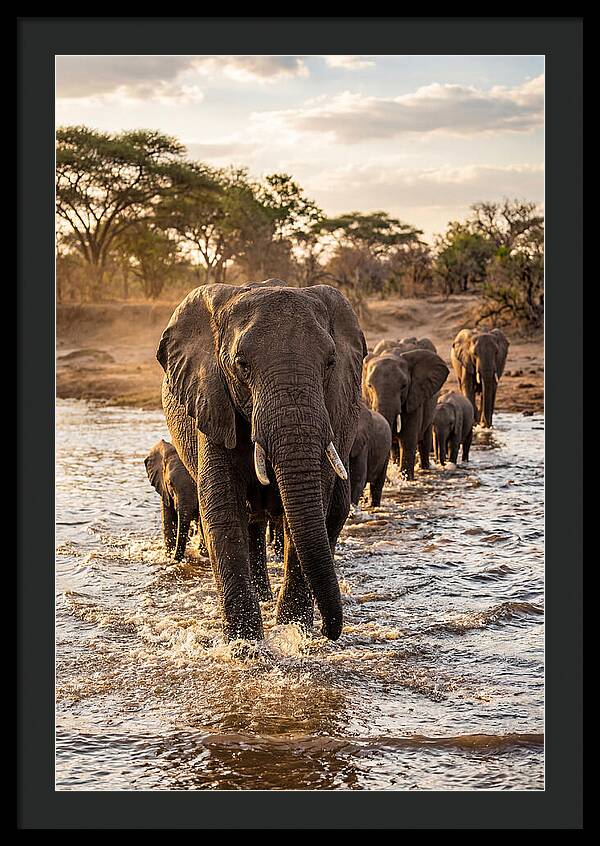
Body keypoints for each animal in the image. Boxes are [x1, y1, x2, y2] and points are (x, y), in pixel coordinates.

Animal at [156, 281, 366, 642]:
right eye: (241, 365)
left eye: (330, 362)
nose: (330, 631)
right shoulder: (212, 400)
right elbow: (223, 511)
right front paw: (245, 646)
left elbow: (311, 508)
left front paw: (294, 632)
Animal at [362, 348, 449, 480]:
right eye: (369, 386)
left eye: (403, 386)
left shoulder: (414, 397)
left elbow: (408, 439)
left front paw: (406, 479)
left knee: (425, 439)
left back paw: (425, 468)